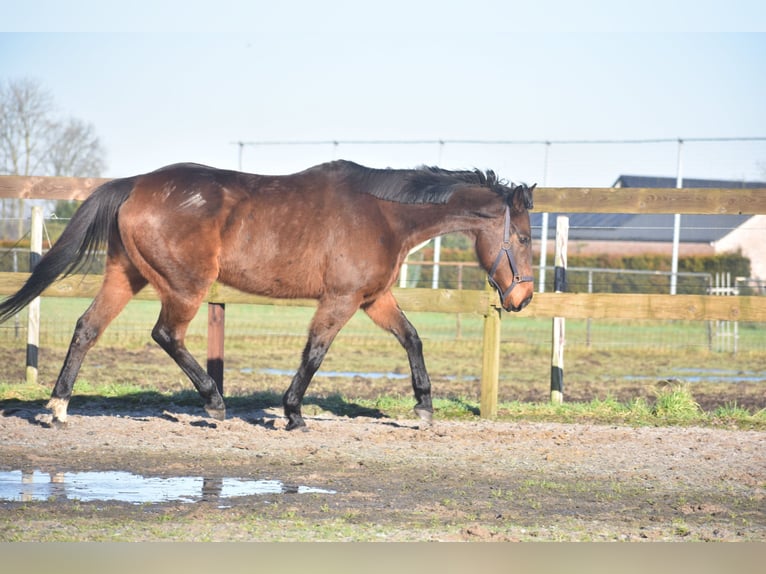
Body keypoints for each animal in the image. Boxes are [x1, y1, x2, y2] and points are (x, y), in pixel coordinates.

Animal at [0, 160, 536, 430]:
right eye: (526, 237)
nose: (523, 299)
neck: (384, 215)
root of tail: (133, 185)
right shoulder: (340, 299)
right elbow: (315, 353)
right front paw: (293, 413)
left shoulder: (373, 300)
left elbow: (413, 339)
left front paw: (424, 408)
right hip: (185, 286)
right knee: (166, 334)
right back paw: (214, 404)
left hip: (125, 274)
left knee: (87, 328)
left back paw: (57, 408)